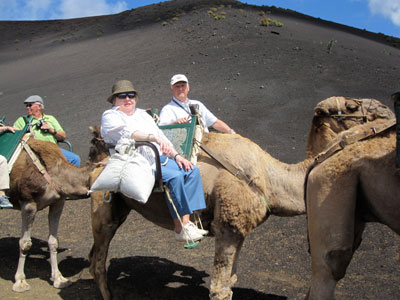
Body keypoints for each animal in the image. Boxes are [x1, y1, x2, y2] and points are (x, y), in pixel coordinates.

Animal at [7, 138, 92, 292]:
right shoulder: (28, 203)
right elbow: (25, 243)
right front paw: (20, 281)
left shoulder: (58, 202)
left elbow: (53, 241)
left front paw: (59, 279)